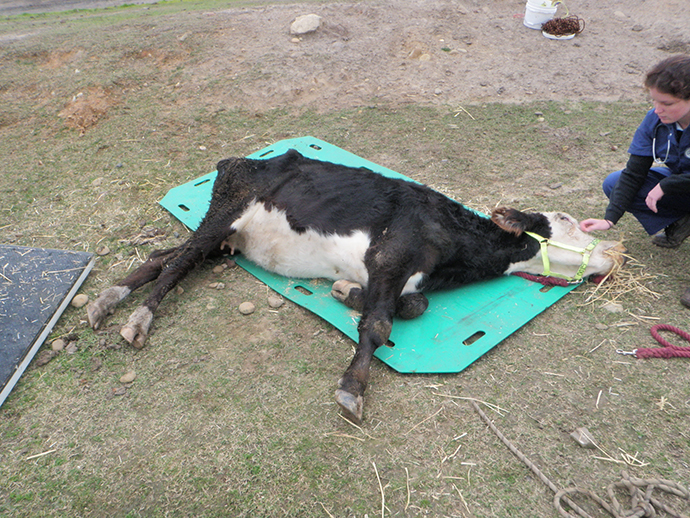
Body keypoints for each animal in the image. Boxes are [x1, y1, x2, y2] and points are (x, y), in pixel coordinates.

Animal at [86, 150, 624, 426]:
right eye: (565, 220)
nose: (613, 253)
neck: (451, 243)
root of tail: (240, 159)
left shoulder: (403, 276)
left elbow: (413, 305)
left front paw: (346, 292)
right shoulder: (390, 256)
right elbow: (381, 323)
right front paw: (352, 388)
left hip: (228, 241)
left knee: (165, 257)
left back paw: (109, 298)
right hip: (226, 213)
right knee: (178, 264)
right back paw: (137, 317)